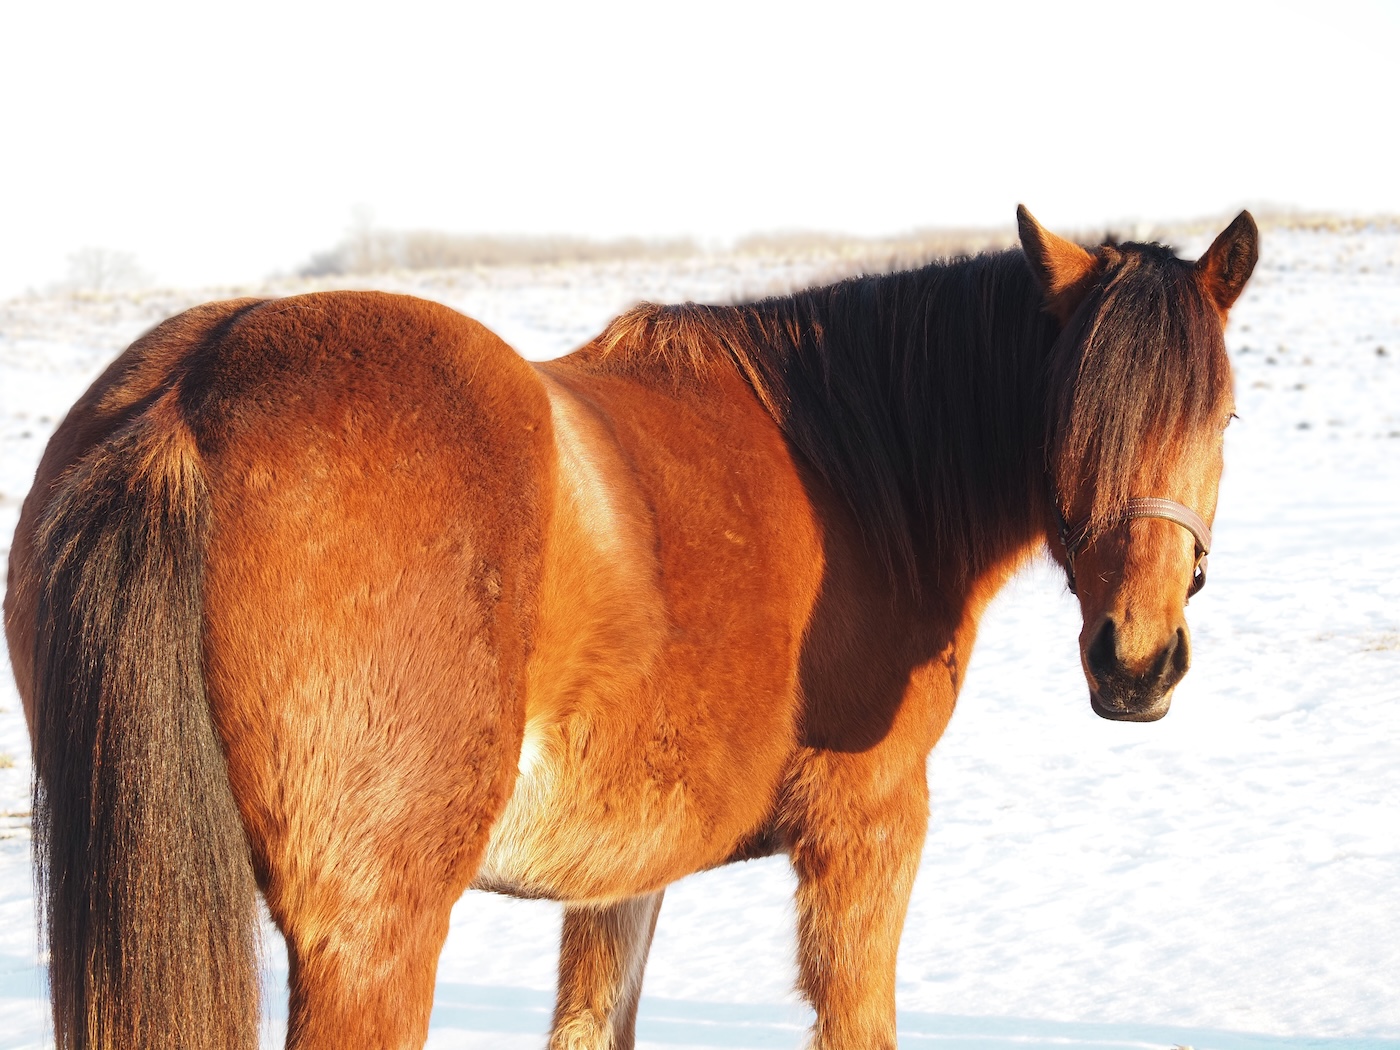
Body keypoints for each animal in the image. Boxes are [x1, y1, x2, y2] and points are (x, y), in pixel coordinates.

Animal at [4, 206, 1257, 1050]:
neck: (853, 469)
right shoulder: (867, 836)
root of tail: (189, 400)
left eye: (1219, 416)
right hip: (371, 945)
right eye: (1070, 420)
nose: (1134, 661)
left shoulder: (619, 875)